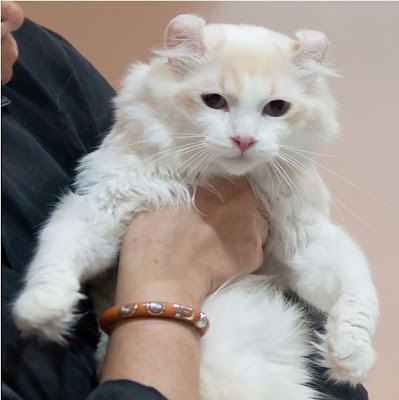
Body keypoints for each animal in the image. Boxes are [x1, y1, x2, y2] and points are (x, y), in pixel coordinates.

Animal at [14, 14, 380, 398]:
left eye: (276, 108)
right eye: (214, 101)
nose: (244, 140)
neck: (221, 177)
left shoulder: (306, 239)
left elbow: (358, 291)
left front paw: (350, 355)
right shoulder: (105, 206)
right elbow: (57, 250)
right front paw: (43, 310)